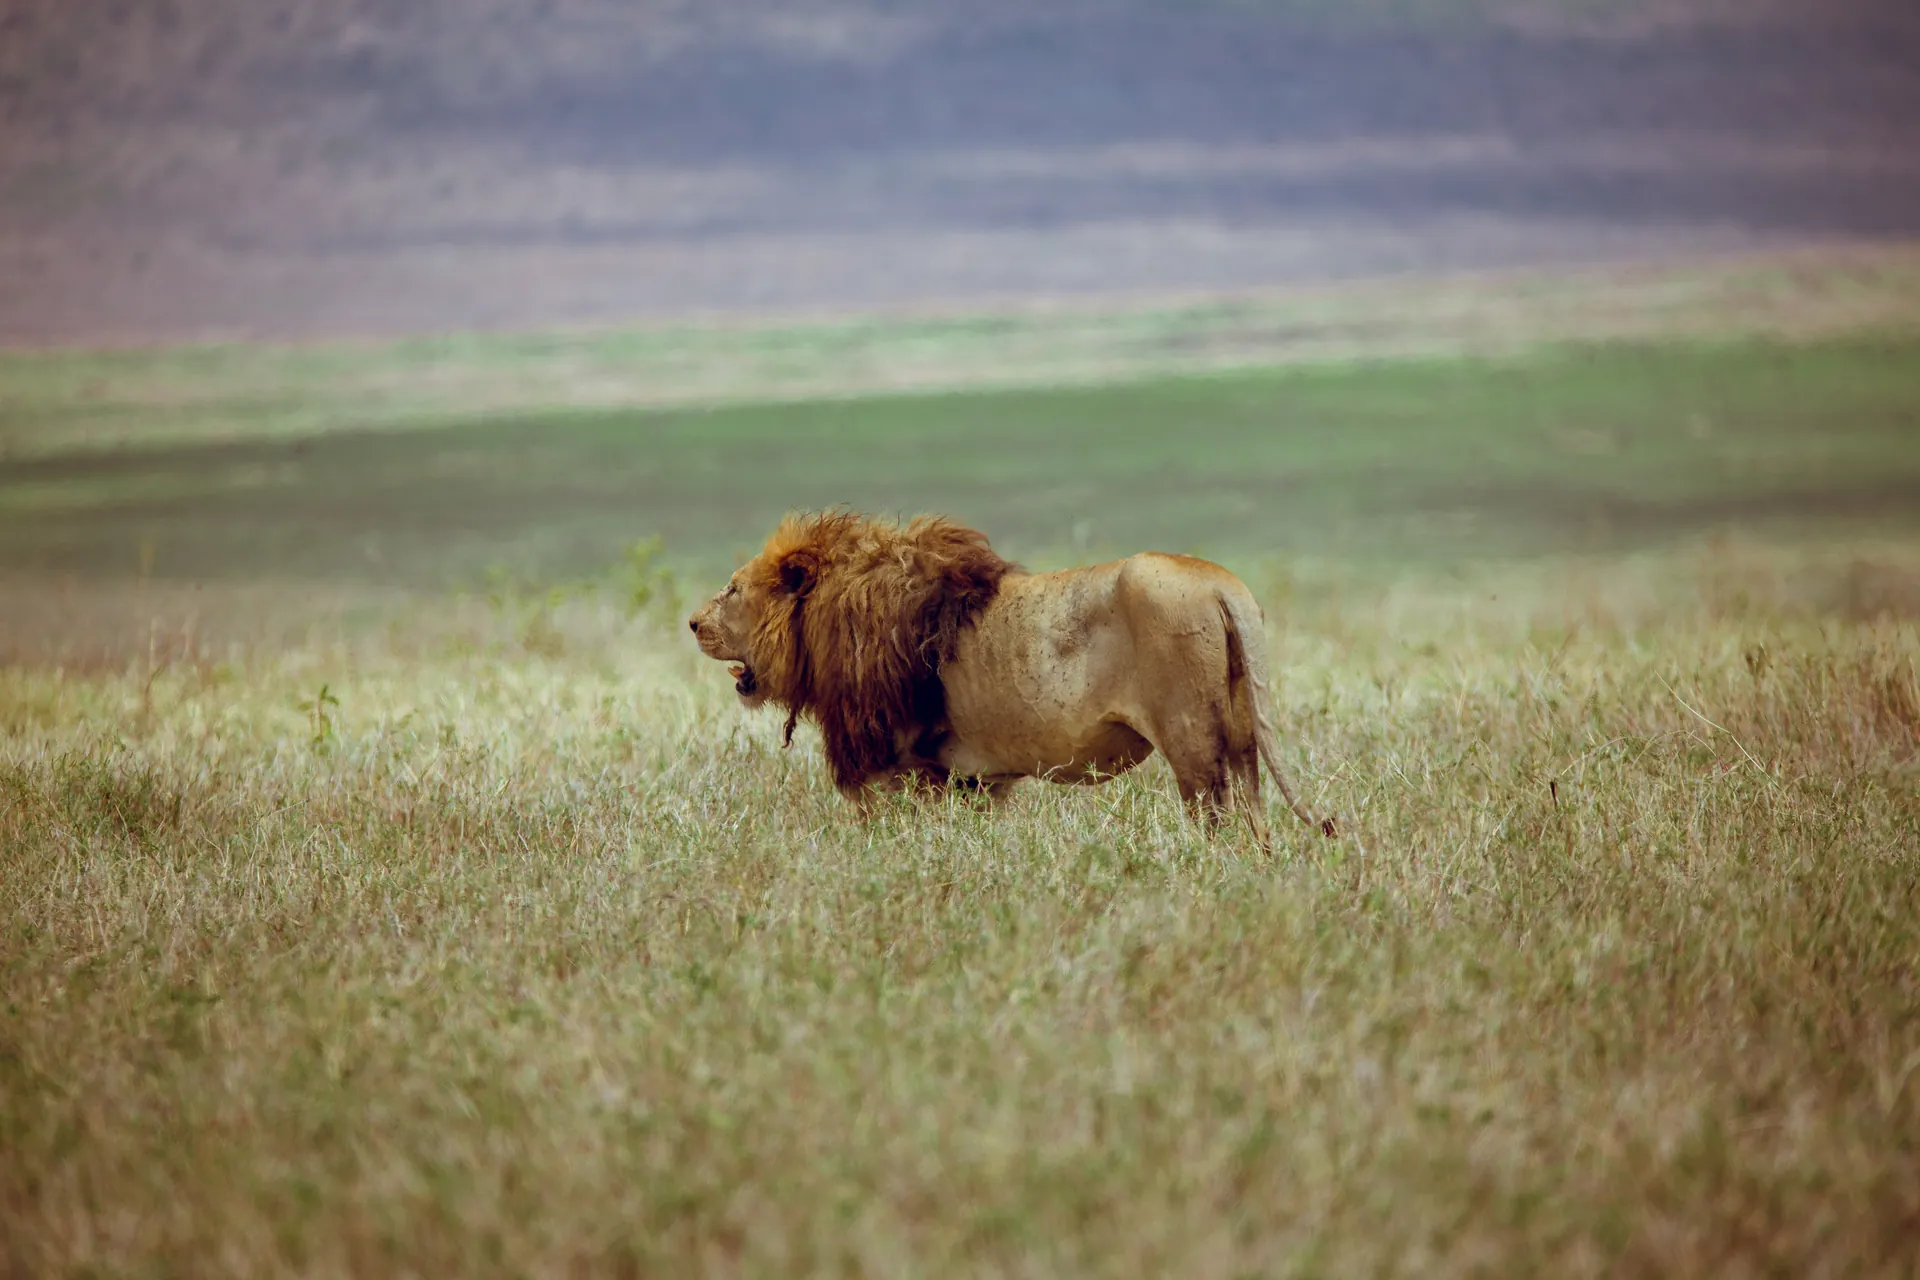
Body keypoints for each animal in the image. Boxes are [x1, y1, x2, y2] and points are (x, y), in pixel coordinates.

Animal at [687, 510, 1333, 847]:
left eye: (732, 589)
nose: (692, 622)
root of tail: (1223, 584)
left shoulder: (896, 766)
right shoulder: (969, 778)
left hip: (1192, 739)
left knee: (1217, 814)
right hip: (1241, 731)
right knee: (1254, 807)